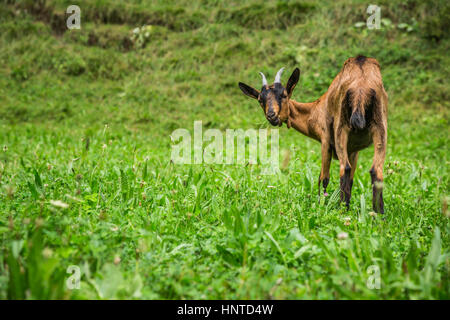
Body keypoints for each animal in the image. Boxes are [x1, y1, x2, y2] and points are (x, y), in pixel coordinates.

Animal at [237, 56, 388, 214]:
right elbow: (351, 180)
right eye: (260, 100)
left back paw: (343, 210)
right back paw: (378, 214)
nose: (271, 116)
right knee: (376, 170)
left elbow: (323, 178)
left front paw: (322, 204)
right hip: (380, 128)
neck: (316, 109)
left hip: (341, 129)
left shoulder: (326, 139)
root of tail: (361, 87)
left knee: (344, 168)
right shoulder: (353, 149)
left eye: (284, 95)